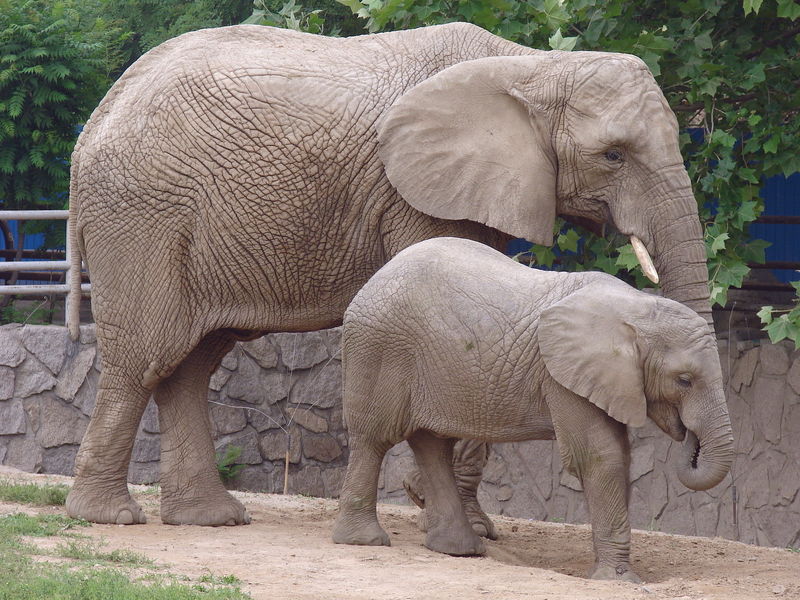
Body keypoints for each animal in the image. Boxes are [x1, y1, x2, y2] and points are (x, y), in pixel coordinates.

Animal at [66, 22, 716, 528]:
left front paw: (465, 521)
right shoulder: (414, 193)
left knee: (192, 363)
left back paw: (210, 517)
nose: (689, 448)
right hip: (144, 213)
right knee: (145, 356)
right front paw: (438, 510)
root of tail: (97, 114)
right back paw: (110, 516)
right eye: (614, 155)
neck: (533, 67)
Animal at [331, 237, 734, 583]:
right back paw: (365, 541)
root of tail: (373, 279)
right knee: (374, 438)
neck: (636, 308)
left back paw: (459, 550)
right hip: (380, 347)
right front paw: (619, 581)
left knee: (432, 445)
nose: (687, 434)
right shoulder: (561, 375)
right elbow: (600, 456)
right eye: (684, 380)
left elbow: (620, 454)